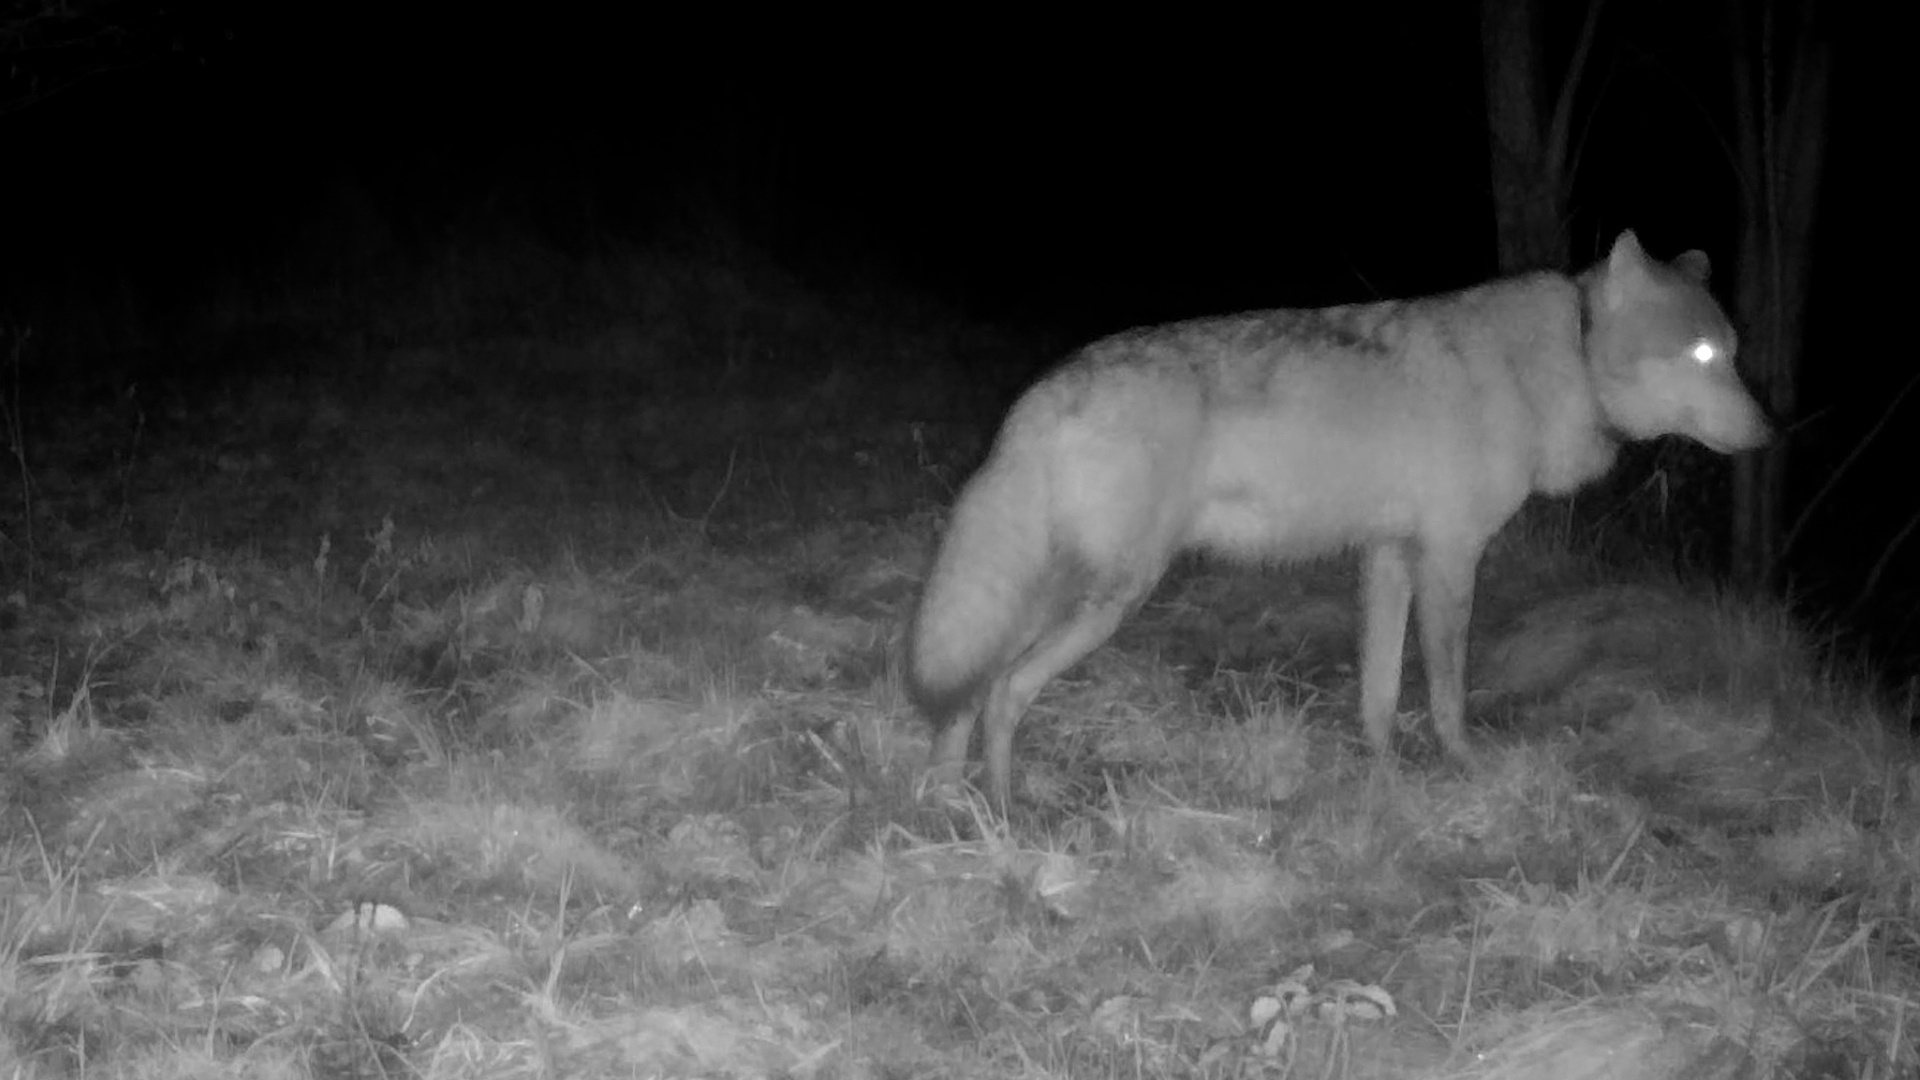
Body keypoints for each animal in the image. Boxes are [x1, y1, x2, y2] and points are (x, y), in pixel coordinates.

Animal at [906, 231, 1772, 810]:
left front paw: (1382, 774)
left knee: (966, 693)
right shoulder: (1449, 559)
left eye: (1732, 351)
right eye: (1701, 355)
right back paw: (1007, 813)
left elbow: (1380, 694)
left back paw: (946, 807)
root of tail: (1043, 390)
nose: (1771, 432)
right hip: (1107, 599)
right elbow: (1447, 693)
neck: (1561, 357)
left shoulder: (1387, 557)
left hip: (1056, 596)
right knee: (1002, 693)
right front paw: (1464, 769)